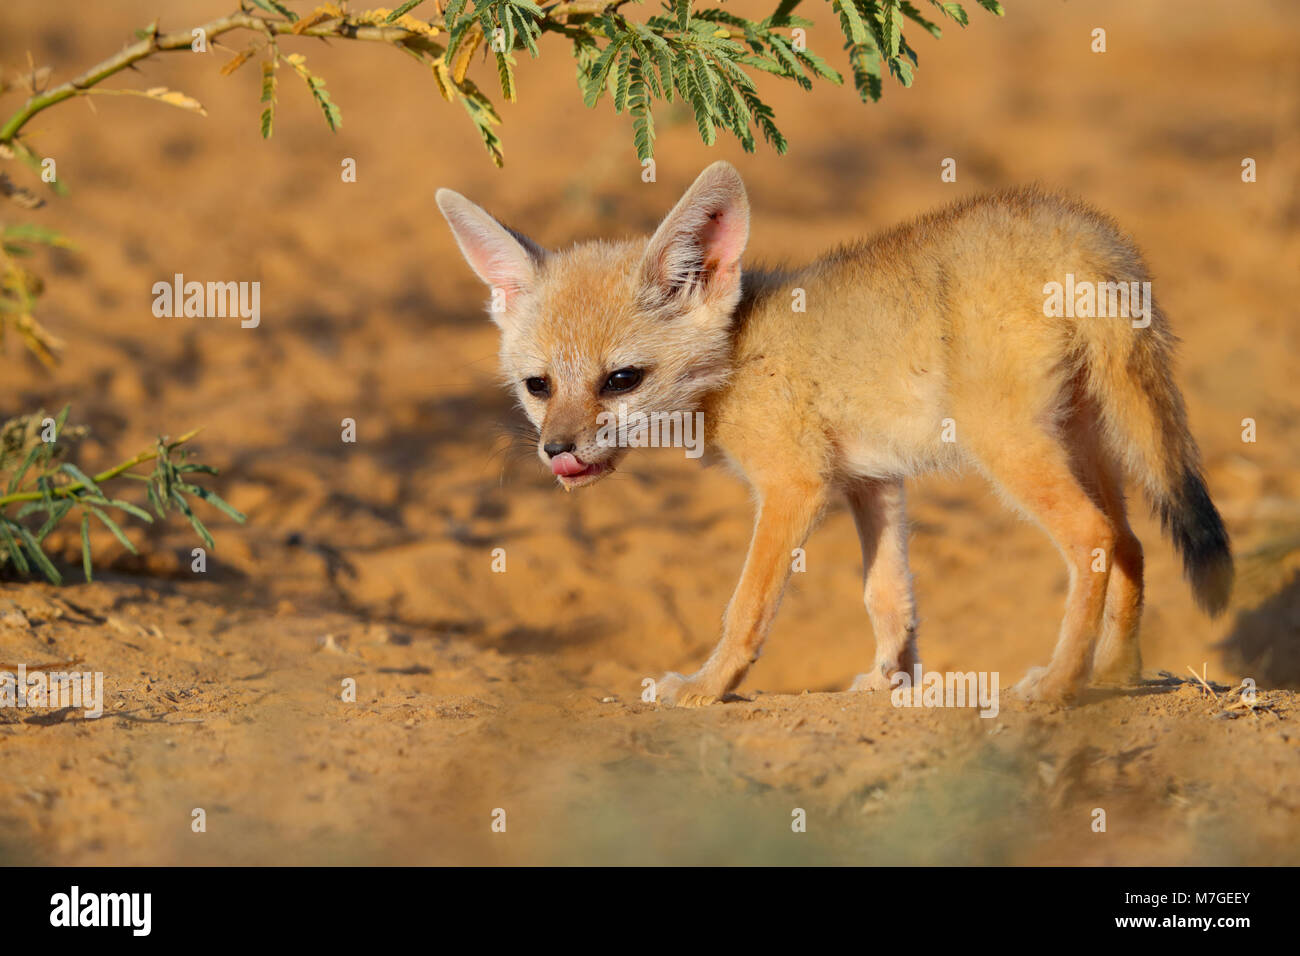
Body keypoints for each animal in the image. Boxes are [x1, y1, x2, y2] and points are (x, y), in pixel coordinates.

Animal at [436, 162, 1233, 707]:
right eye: (538, 387)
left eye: (621, 380)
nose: (557, 451)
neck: (741, 352)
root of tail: (1075, 231)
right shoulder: (871, 482)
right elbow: (889, 598)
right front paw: (889, 683)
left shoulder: (795, 487)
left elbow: (747, 607)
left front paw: (706, 687)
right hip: (1085, 443)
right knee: (1130, 544)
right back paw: (1117, 675)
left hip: (1011, 450)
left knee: (1094, 539)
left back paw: (1060, 683)